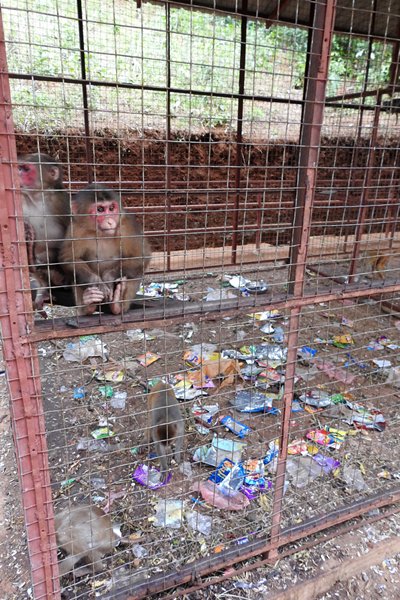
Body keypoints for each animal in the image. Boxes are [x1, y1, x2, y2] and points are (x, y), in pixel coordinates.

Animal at [59, 182, 152, 314]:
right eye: (100, 209)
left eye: (111, 208)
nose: (109, 221)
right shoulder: (76, 229)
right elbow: (69, 259)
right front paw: (97, 283)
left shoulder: (127, 226)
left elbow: (140, 256)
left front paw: (108, 278)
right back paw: (88, 304)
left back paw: (117, 304)